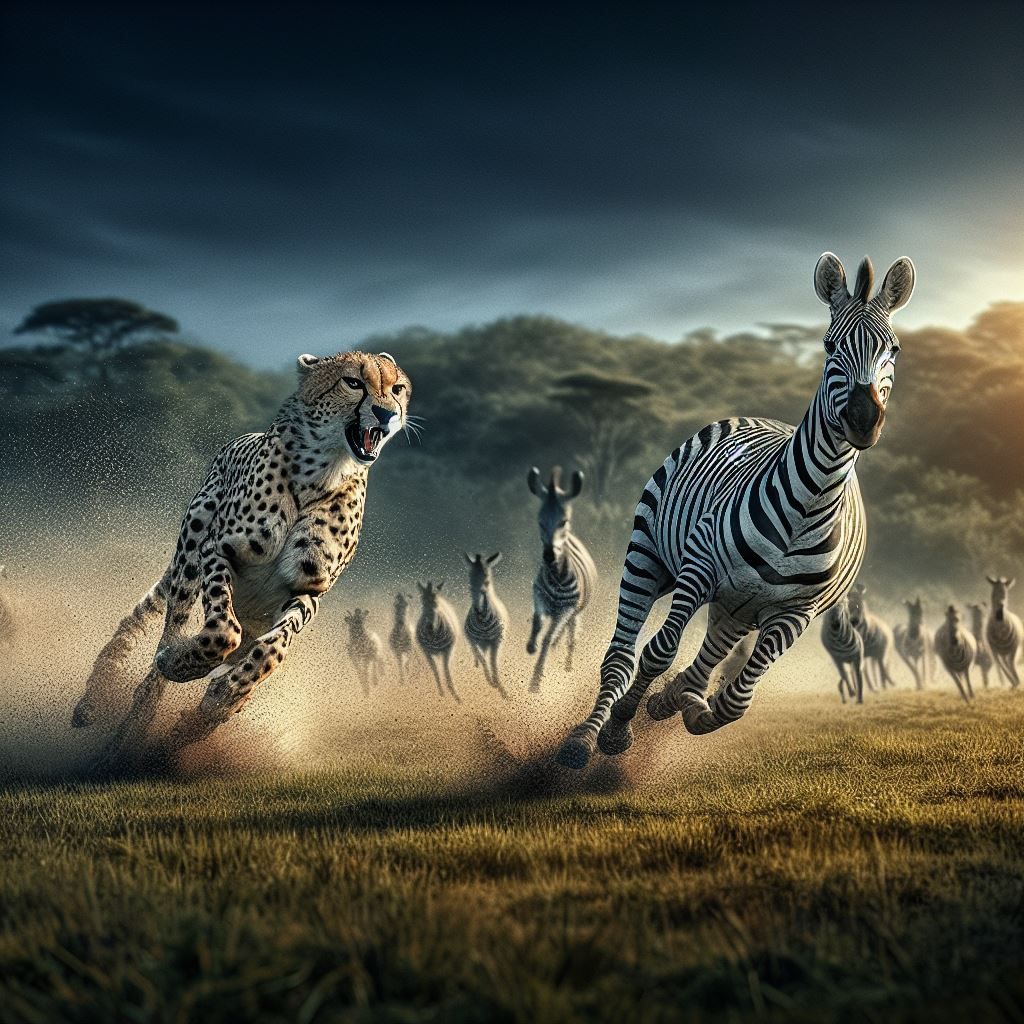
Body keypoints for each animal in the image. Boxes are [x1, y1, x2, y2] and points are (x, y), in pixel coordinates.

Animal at [463, 552, 510, 699]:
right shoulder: (473, 641)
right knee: (479, 656)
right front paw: (491, 681)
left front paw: (501, 689)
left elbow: (494, 663)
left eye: (487, 582)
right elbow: (482, 659)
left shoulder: (497, 641)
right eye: (470, 584)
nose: (478, 610)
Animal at [526, 467, 597, 693]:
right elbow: (538, 623)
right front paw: (531, 645)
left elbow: (548, 638)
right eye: (539, 521)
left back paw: (567, 665)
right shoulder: (539, 597)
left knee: (571, 637)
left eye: (563, 521)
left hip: (574, 613)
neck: (557, 576)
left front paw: (535, 683)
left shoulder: (566, 609)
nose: (549, 556)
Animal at [556, 252, 915, 768]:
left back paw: (674, 698)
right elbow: (659, 651)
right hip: (650, 558)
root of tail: (759, 416)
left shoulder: (795, 613)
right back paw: (586, 737)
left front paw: (682, 708)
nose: (863, 419)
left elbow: (736, 702)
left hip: (737, 607)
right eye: (829, 346)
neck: (809, 504)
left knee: (704, 661)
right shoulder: (699, 570)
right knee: (621, 656)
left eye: (895, 349)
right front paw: (620, 728)